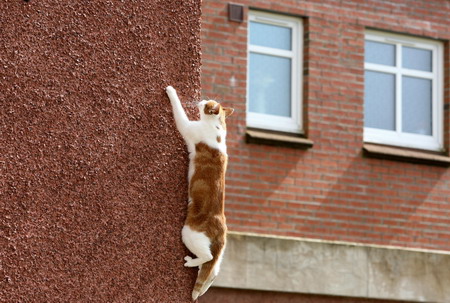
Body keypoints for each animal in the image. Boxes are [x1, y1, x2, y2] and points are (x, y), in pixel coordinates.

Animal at [166, 85, 236, 302]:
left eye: (206, 104)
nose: (202, 99)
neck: (218, 127)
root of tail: (221, 228)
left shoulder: (187, 126)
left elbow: (178, 110)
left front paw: (171, 91)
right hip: (218, 259)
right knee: (212, 270)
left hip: (189, 233)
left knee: (208, 257)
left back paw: (191, 262)